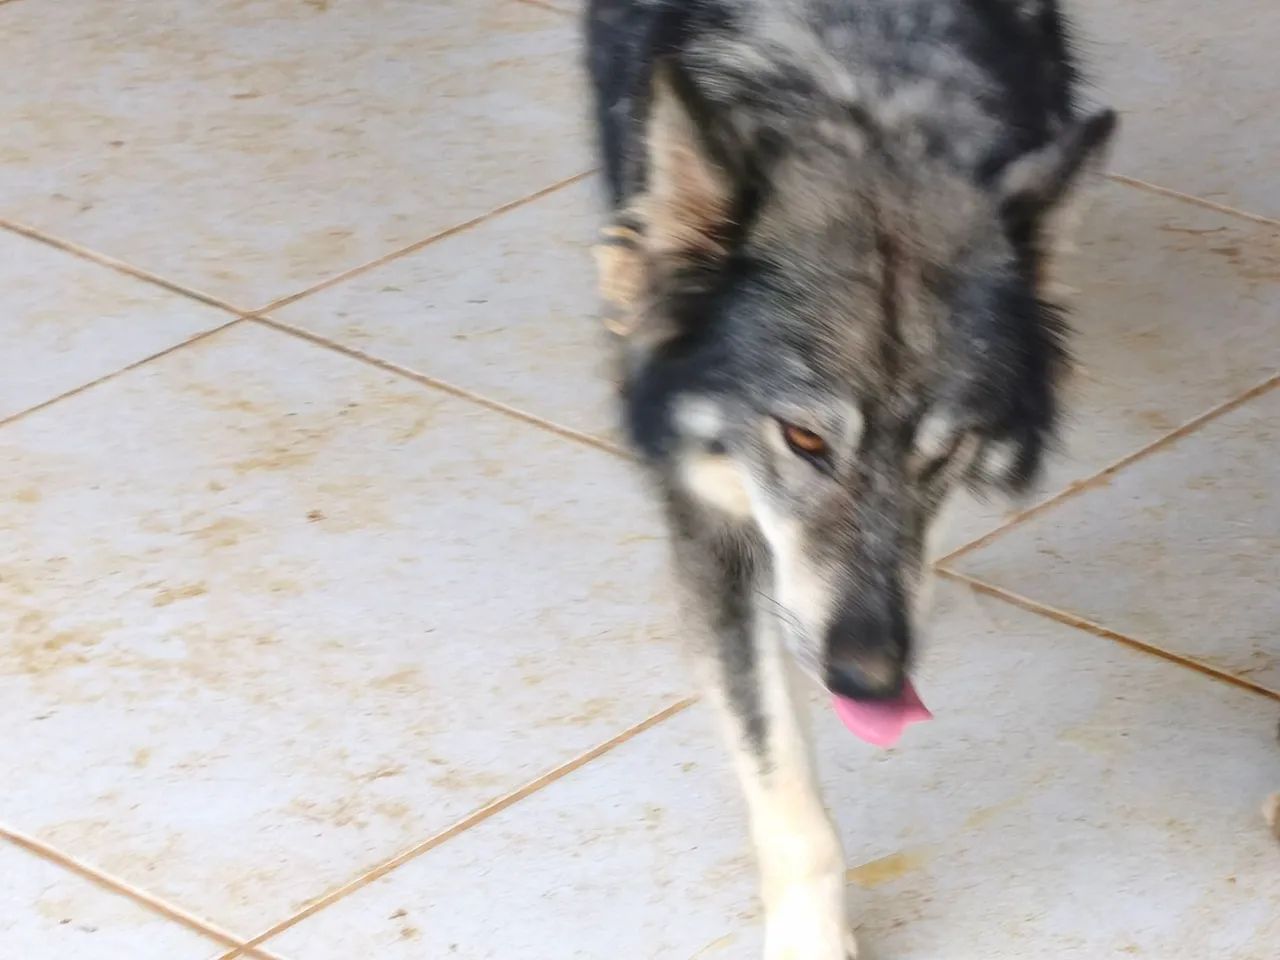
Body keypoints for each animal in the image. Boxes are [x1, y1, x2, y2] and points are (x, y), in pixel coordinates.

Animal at [583, 1, 1115, 955]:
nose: (869, 681)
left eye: (943, 452)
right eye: (802, 437)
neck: (860, 94)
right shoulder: (713, 522)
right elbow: (787, 795)